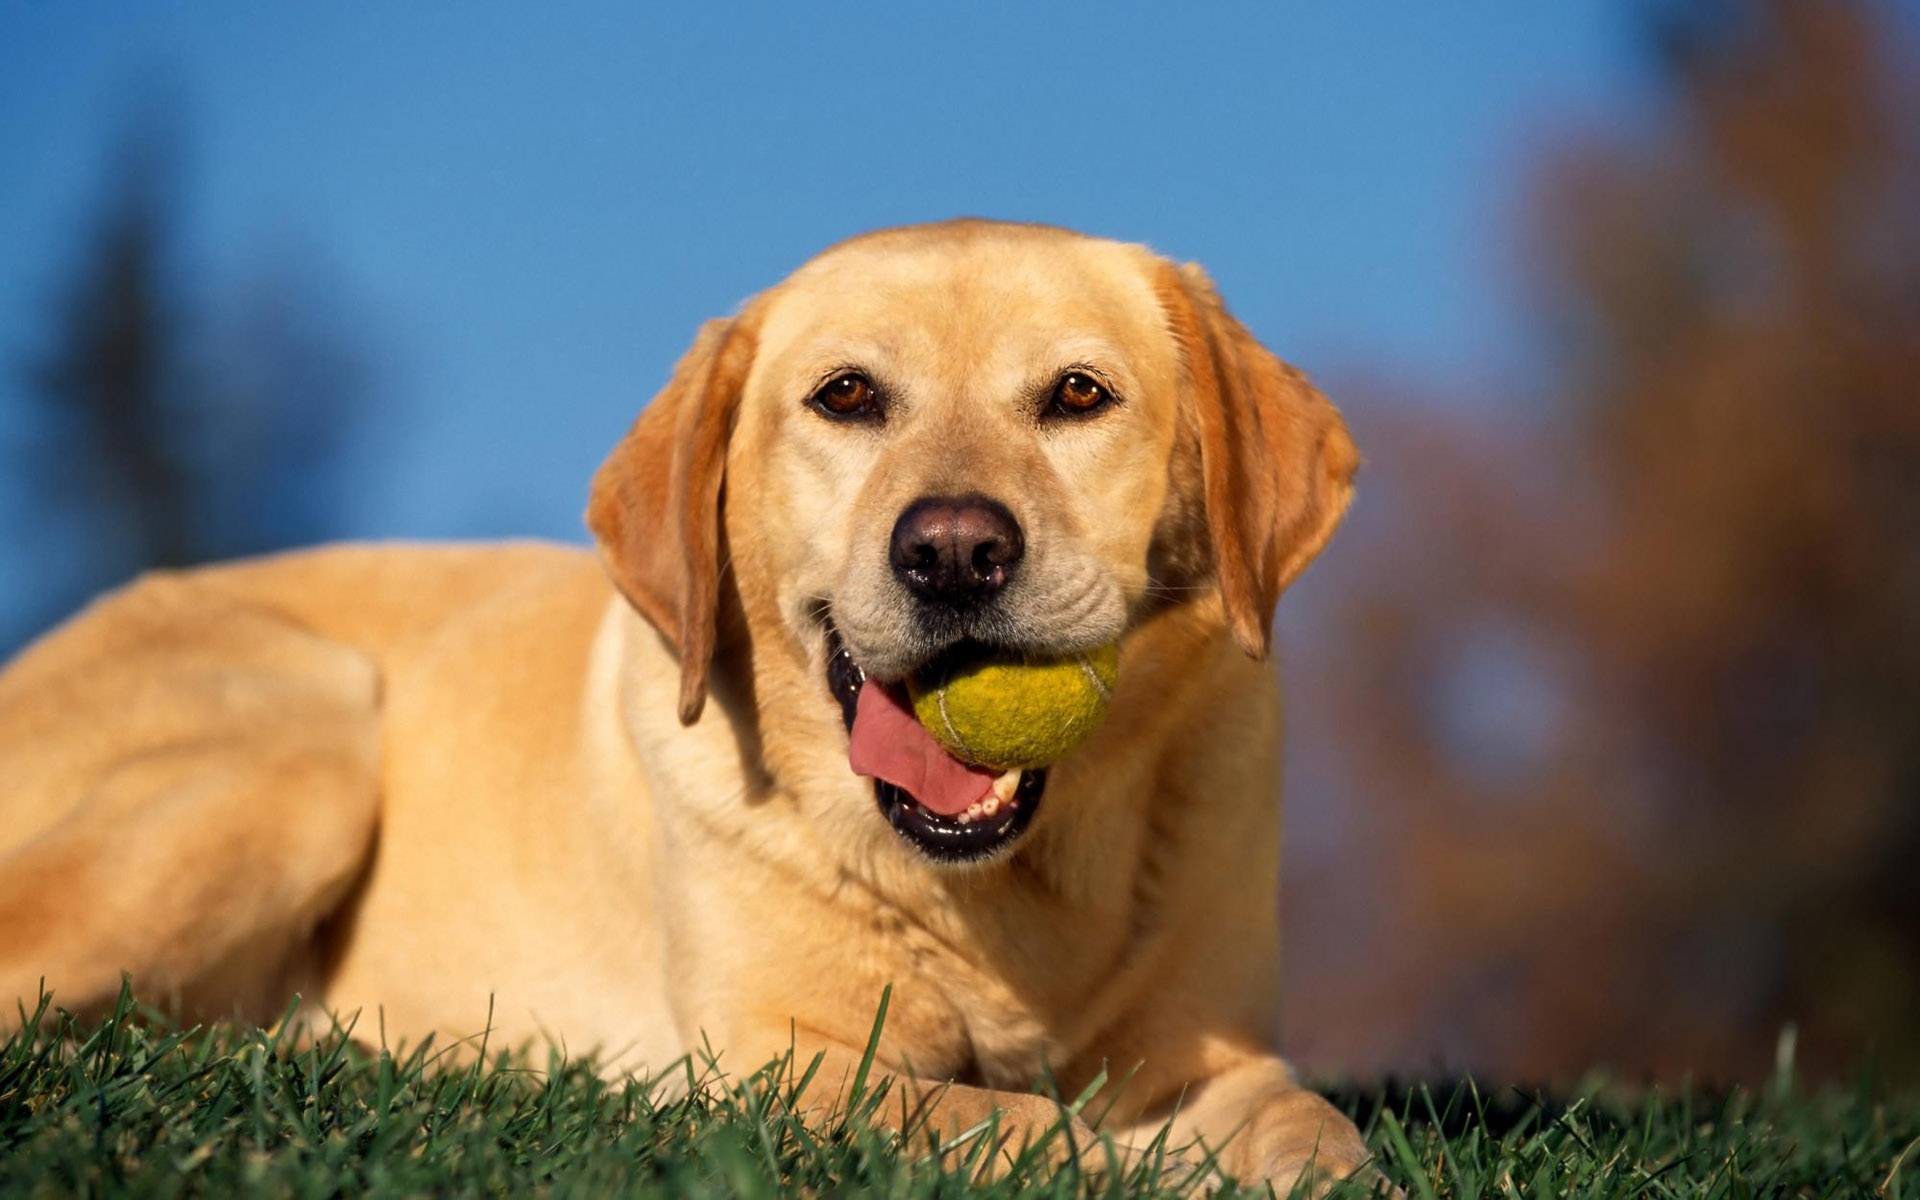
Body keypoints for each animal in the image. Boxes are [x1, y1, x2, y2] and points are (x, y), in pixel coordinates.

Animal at [3, 217, 1382, 1190]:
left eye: (1079, 395)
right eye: (847, 396)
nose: (952, 552)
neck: (1006, 895)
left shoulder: (1216, 1053)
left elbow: (1313, 1128)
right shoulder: (786, 1065)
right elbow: (1005, 1121)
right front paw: (1116, 1161)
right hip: (308, 741)